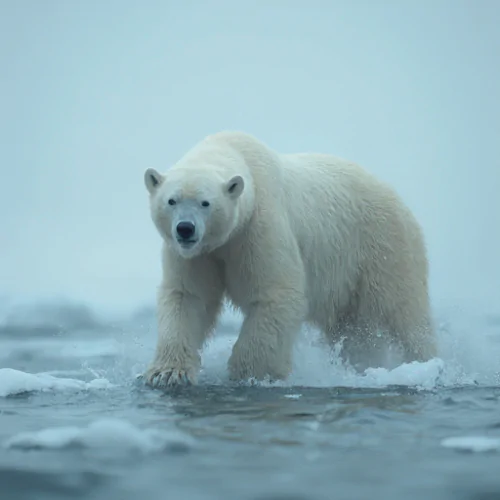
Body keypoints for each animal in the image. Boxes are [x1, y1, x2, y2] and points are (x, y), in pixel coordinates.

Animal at [143, 130, 436, 386]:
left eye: (205, 203)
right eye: (172, 200)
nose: (185, 228)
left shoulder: (257, 227)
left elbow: (276, 293)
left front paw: (251, 374)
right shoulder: (195, 255)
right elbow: (188, 296)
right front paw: (167, 374)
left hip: (383, 246)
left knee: (404, 312)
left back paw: (423, 363)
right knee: (354, 331)